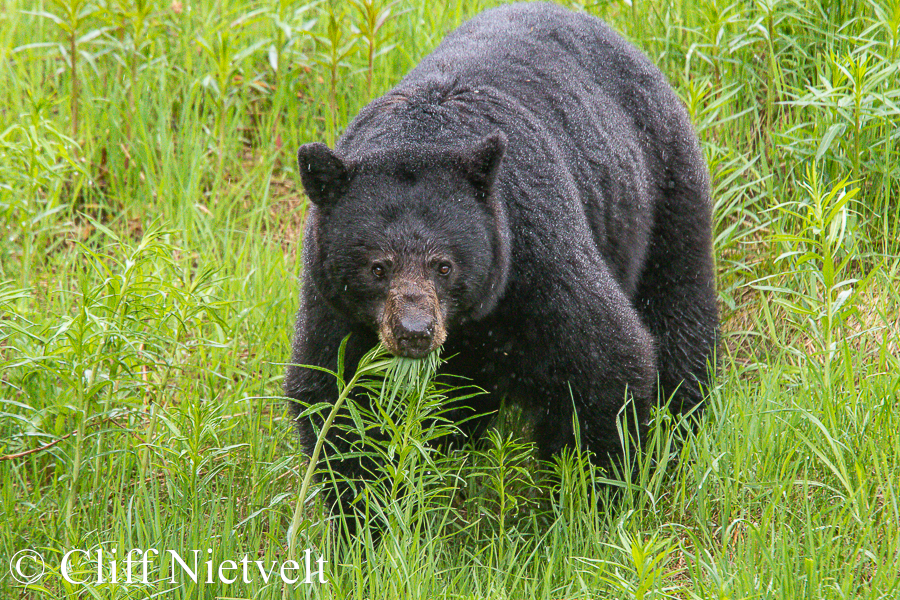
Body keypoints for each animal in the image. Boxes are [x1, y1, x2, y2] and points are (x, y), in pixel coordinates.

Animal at [284, 2, 720, 520]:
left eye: (444, 265)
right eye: (377, 267)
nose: (414, 332)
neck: (421, 135)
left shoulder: (534, 254)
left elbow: (605, 364)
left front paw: (589, 504)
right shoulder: (330, 295)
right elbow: (336, 394)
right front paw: (367, 516)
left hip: (665, 190)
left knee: (678, 307)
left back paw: (683, 427)